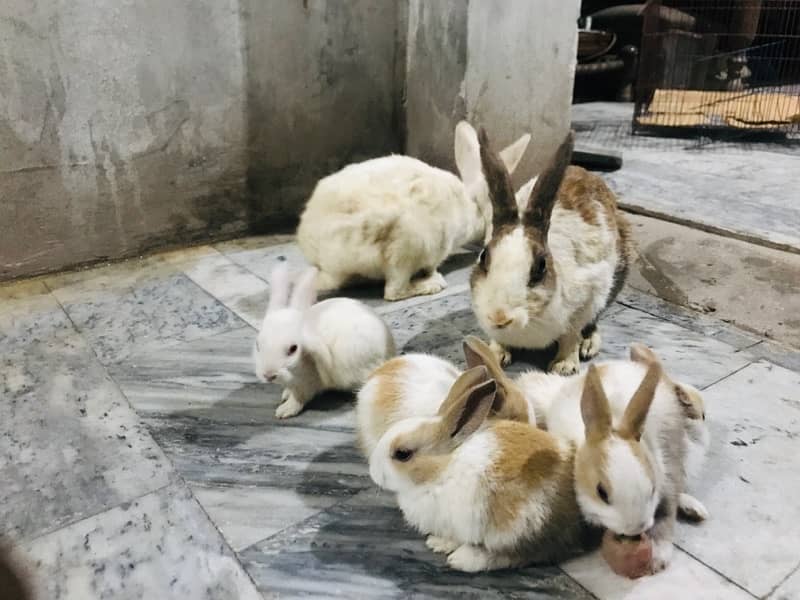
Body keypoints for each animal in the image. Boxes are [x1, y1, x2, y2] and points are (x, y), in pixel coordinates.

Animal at [253, 260, 396, 420]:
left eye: (293, 348)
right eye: (258, 345)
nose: (268, 375)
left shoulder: (308, 382)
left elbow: (299, 397)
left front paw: (284, 411)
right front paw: (285, 395)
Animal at [366, 366, 596, 572]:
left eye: (402, 454)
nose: (373, 473)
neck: (442, 470)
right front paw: (438, 543)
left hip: (520, 525)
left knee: (525, 554)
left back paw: (463, 559)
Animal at [468, 129, 636, 372]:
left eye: (540, 267)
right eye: (483, 257)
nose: (499, 317)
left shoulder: (588, 296)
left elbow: (571, 335)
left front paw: (564, 367)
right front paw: (494, 355)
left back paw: (589, 345)